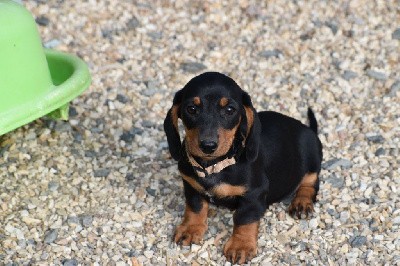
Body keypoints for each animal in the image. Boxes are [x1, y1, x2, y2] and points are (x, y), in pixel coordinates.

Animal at [164, 71, 324, 264]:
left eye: (229, 110)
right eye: (191, 109)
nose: (208, 146)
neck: (214, 166)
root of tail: (307, 128)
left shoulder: (254, 194)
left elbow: (244, 218)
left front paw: (240, 246)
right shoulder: (191, 185)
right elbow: (195, 207)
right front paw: (190, 229)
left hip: (311, 155)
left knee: (311, 181)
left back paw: (302, 203)